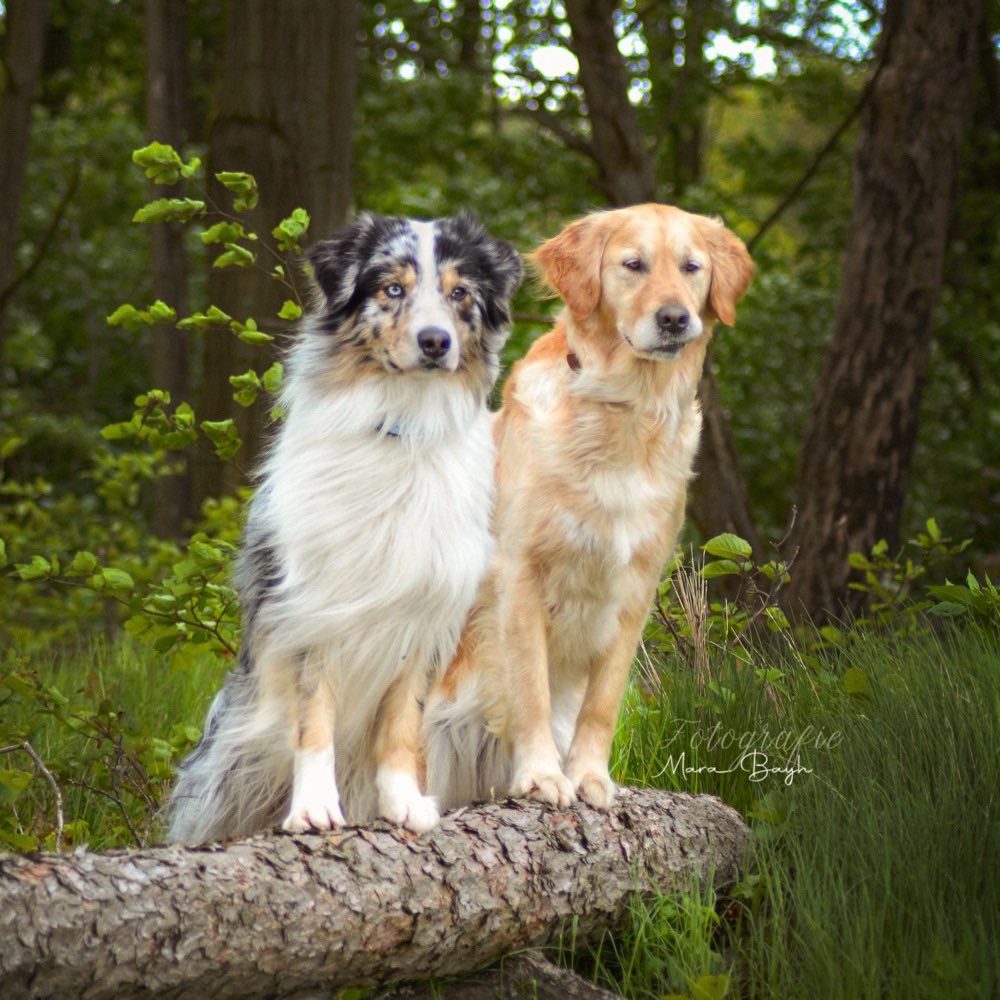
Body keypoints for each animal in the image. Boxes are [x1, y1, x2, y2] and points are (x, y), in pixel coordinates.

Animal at [420, 203, 752, 812]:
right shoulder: (520, 575)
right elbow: (530, 688)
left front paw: (589, 776)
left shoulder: (636, 589)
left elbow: (602, 702)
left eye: (691, 267)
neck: (625, 410)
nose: (675, 318)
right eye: (633, 265)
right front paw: (540, 776)